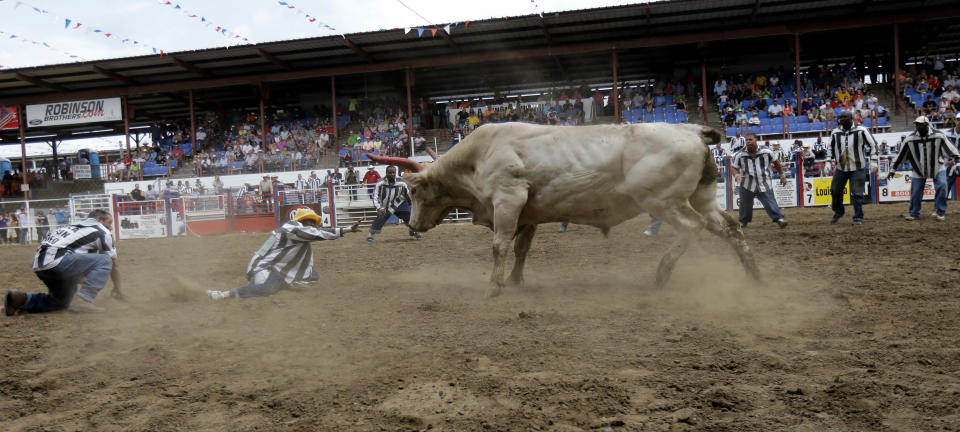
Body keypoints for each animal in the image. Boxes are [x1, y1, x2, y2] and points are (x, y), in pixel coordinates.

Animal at [372, 122, 760, 296]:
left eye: (414, 190)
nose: (414, 224)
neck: (478, 156)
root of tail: (691, 130)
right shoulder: (528, 214)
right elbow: (521, 248)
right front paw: (516, 280)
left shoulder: (508, 200)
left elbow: (500, 245)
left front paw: (495, 285)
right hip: (702, 196)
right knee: (730, 228)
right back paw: (753, 275)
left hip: (662, 200)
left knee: (691, 228)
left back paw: (662, 273)